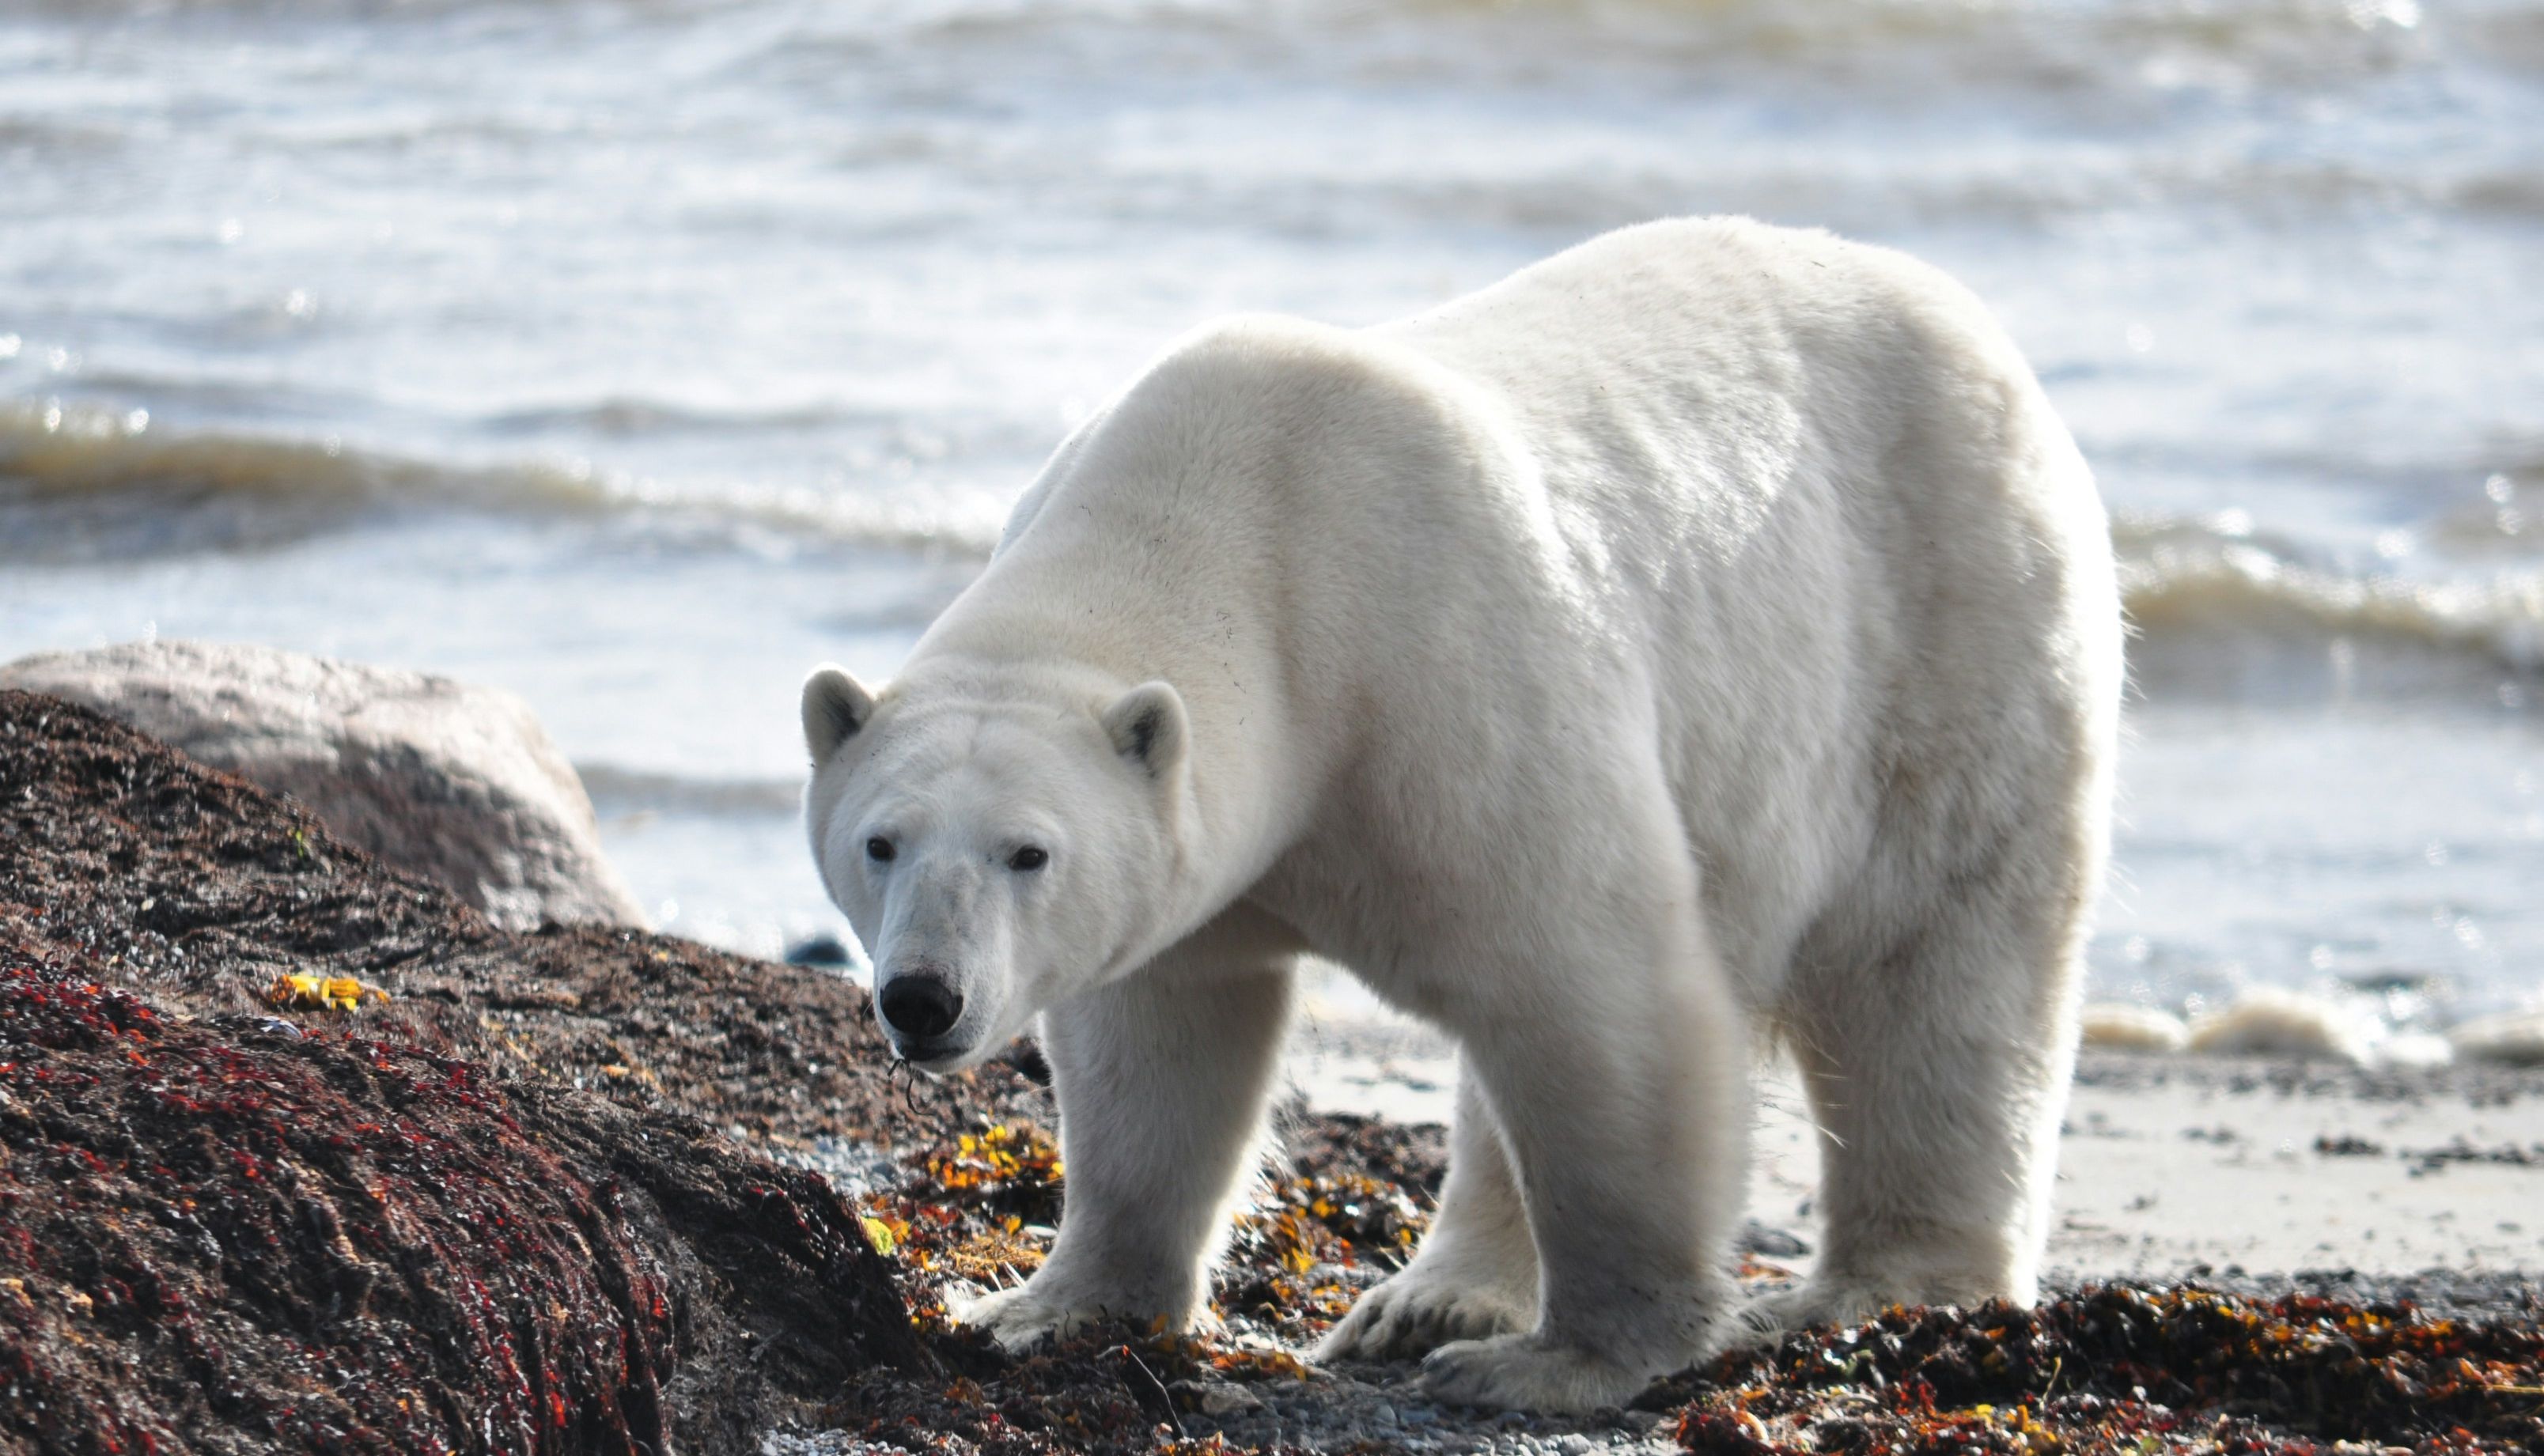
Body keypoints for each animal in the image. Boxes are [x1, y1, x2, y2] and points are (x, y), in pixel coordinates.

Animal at [799, 216, 2122, 1413]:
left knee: (1933, 973)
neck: (1248, 528)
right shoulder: (1209, 852)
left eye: (1029, 852)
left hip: (1951, 632)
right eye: (880, 843)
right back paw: (1431, 1297)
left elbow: (1594, 987)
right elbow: (1165, 1042)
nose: (923, 998)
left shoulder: (1447, 683)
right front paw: (1045, 1309)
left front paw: (1567, 1364)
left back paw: (1893, 1285)